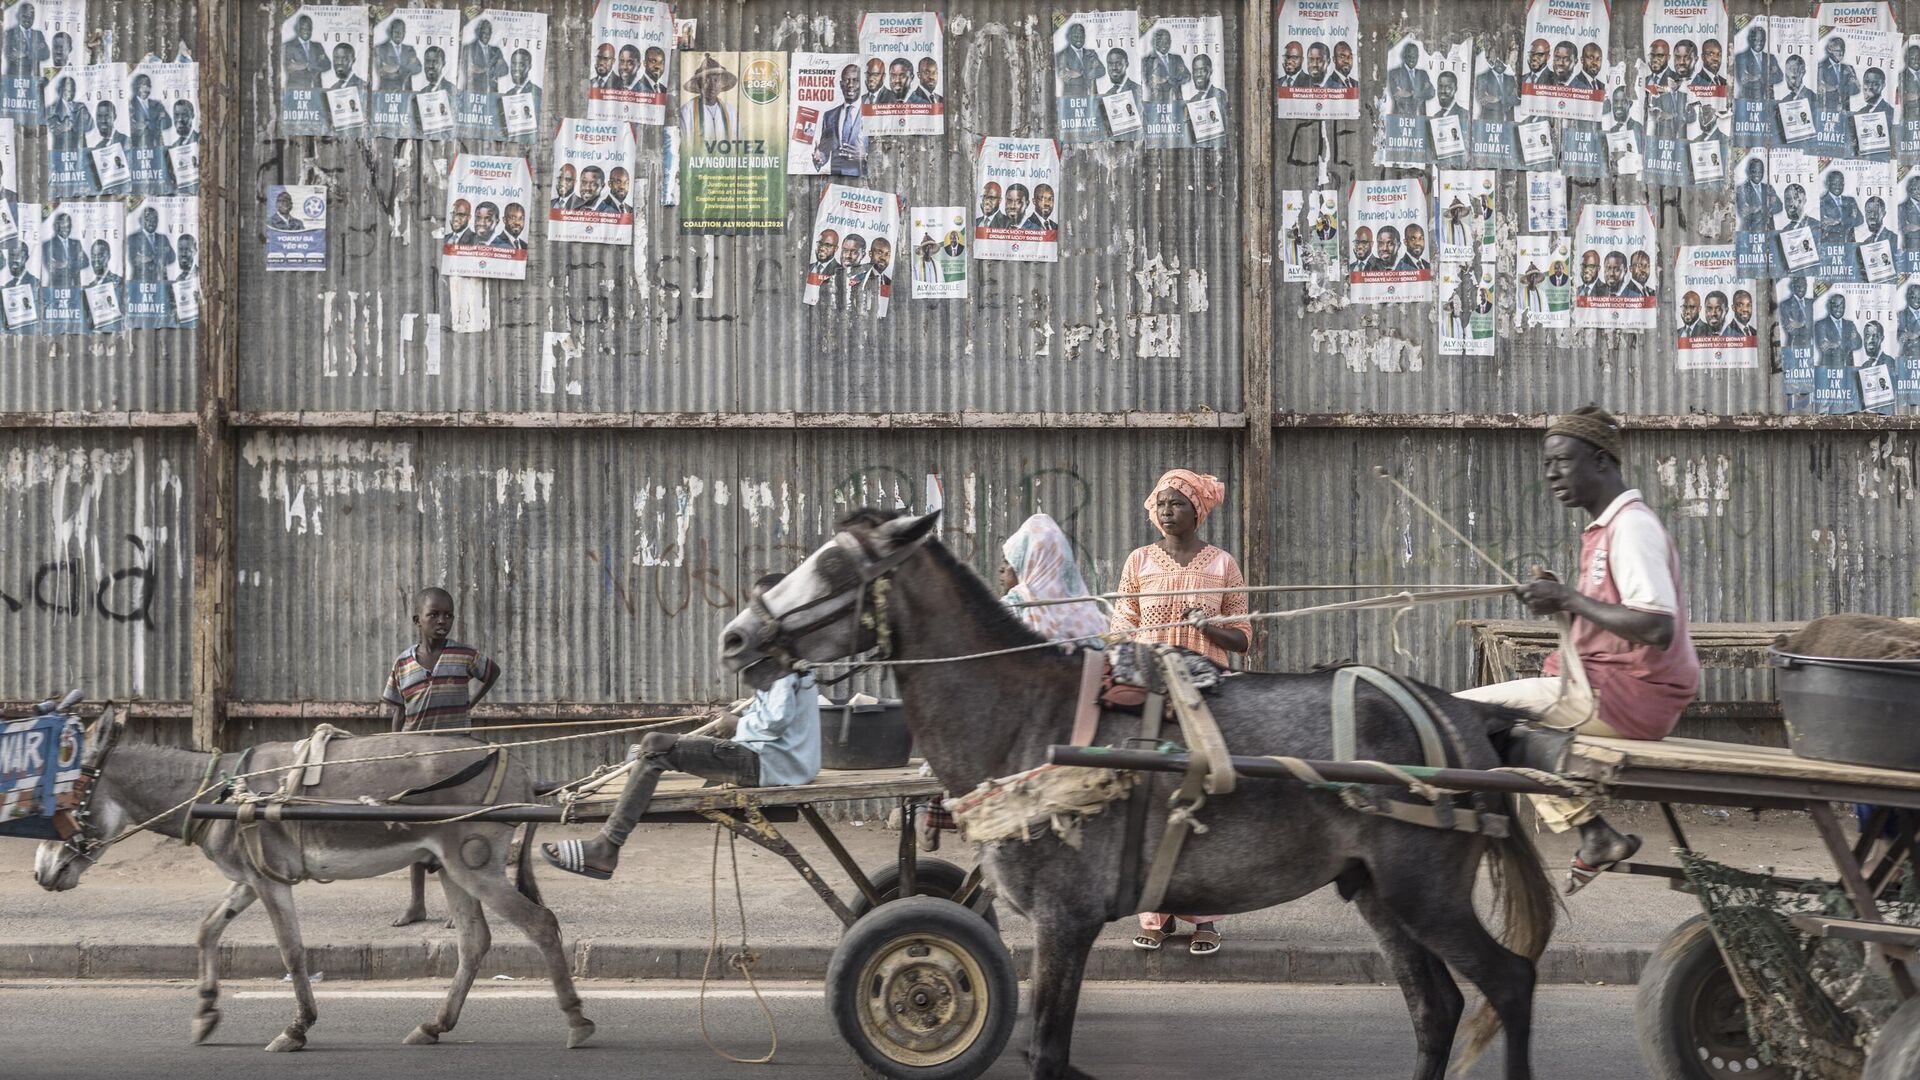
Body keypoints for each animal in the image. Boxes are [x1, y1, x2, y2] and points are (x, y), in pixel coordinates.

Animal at [33, 726, 591, 1045]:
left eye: (64, 803)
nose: (40, 874)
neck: (221, 793)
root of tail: (520, 770)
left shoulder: (269, 882)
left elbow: (292, 951)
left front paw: (296, 1028)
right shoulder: (251, 879)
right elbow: (207, 930)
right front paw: (206, 1011)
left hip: (475, 864)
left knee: (541, 924)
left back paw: (577, 1022)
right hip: (452, 867)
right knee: (474, 941)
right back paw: (434, 1025)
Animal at [721, 507, 1559, 1076]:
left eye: (834, 569)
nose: (736, 636)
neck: (1029, 715)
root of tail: (1468, 712)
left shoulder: (1065, 919)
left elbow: (1046, 1051)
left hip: (1426, 890)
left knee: (1510, 982)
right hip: (1380, 892)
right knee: (1437, 1008)